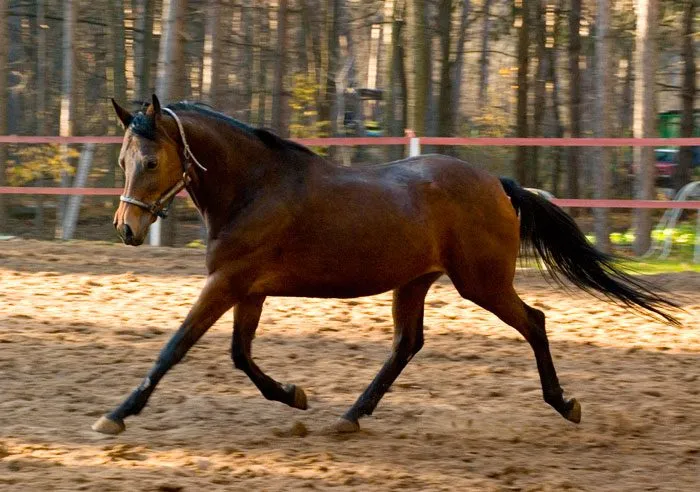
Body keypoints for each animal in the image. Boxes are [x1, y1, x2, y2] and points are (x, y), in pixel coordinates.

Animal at [93, 95, 680, 434]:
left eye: (150, 161)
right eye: (122, 160)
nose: (127, 229)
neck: (255, 188)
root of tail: (498, 183)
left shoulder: (228, 282)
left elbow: (175, 347)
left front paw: (117, 415)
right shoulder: (248, 289)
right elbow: (240, 355)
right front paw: (294, 397)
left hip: (481, 283)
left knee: (533, 322)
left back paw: (564, 404)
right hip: (416, 281)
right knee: (407, 344)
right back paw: (350, 416)